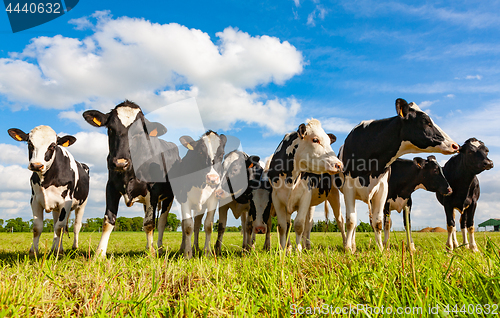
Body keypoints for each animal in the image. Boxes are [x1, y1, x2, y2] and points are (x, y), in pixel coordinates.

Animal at [8, 125, 90, 258]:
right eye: (29, 143)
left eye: (52, 146)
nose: (36, 165)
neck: (46, 180)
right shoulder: (35, 200)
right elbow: (38, 227)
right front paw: (34, 252)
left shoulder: (66, 201)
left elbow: (60, 228)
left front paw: (57, 252)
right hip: (56, 209)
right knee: (57, 224)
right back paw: (55, 248)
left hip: (82, 204)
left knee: (76, 226)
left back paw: (73, 248)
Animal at [80, 100, 178, 258]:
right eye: (110, 129)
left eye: (139, 132)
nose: (120, 163)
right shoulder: (111, 187)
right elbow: (108, 221)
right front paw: (99, 255)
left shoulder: (153, 191)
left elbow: (149, 223)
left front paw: (152, 255)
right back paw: (148, 247)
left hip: (169, 196)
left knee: (162, 221)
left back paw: (159, 248)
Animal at [169, 130, 228, 258]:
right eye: (200, 152)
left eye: (222, 153)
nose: (213, 178)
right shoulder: (184, 199)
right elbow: (187, 226)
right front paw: (187, 254)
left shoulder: (213, 200)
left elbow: (208, 226)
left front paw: (207, 253)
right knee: (185, 224)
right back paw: (183, 248)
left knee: (197, 225)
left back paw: (196, 248)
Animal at [266, 119, 344, 251]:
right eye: (315, 140)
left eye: (329, 142)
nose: (339, 164)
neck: (290, 179)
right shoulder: (277, 198)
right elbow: (283, 226)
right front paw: (284, 250)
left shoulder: (305, 196)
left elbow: (298, 225)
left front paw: (298, 250)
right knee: (309, 223)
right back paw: (306, 246)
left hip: (333, 194)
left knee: (340, 220)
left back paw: (348, 246)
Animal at [334, 98, 458, 252]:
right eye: (425, 121)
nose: (455, 145)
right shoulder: (349, 188)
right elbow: (351, 221)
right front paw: (348, 249)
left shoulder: (385, 192)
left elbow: (381, 223)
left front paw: (382, 249)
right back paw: (351, 245)